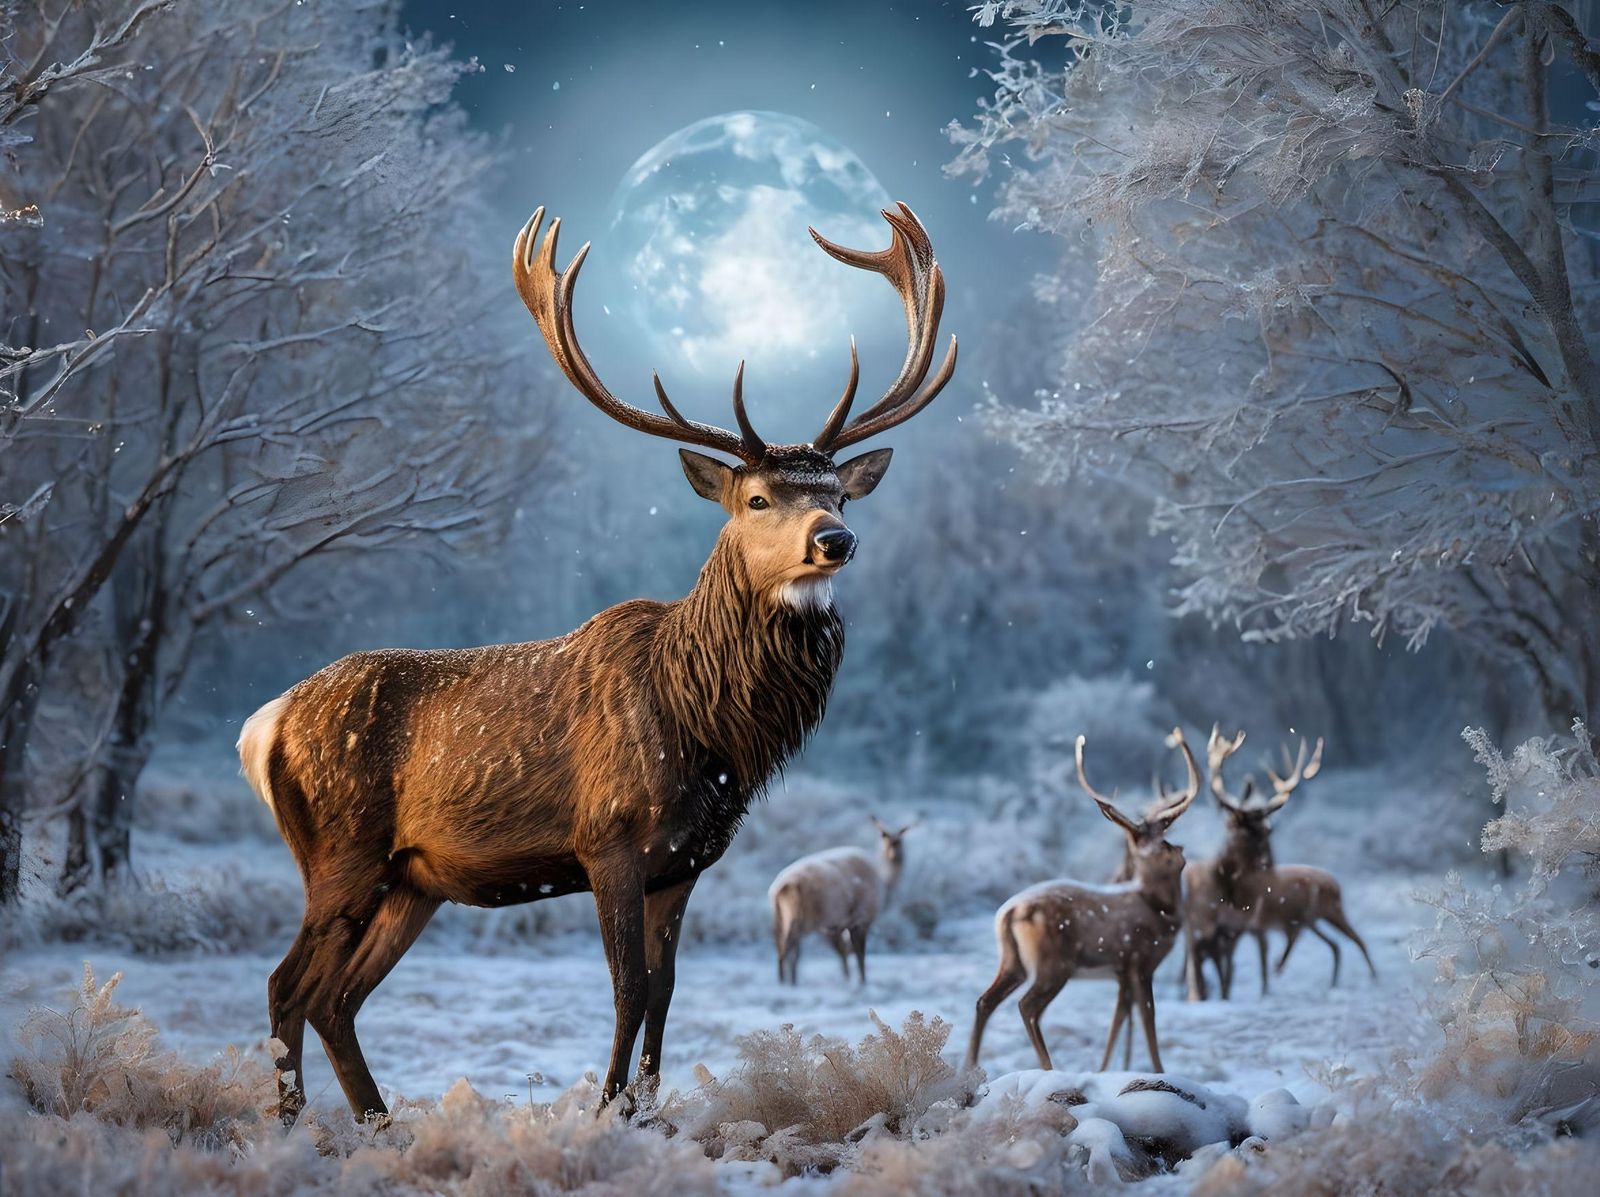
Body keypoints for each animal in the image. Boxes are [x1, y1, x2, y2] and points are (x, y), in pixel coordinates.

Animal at [768, 816, 917, 985]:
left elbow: (844, 954)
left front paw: (848, 979)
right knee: (787, 950)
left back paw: (788, 981)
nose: (896, 856)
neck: (884, 886)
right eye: (885, 838)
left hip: (780, 917)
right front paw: (861, 982)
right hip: (801, 918)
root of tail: (779, 889)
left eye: (901, 841)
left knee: (785, 948)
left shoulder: (836, 925)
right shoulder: (860, 919)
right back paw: (786, 983)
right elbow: (859, 955)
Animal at [964, 729, 1199, 1076]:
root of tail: (1009, 912)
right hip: (1055, 964)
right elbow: (1148, 1020)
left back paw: (969, 1069)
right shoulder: (1141, 962)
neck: (1159, 911)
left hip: (1012, 961)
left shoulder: (1121, 971)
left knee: (985, 1000)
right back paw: (1048, 1067)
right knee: (1027, 1005)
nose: (1174, 856)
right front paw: (1158, 1071)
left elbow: (1118, 1020)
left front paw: (1105, 1070)